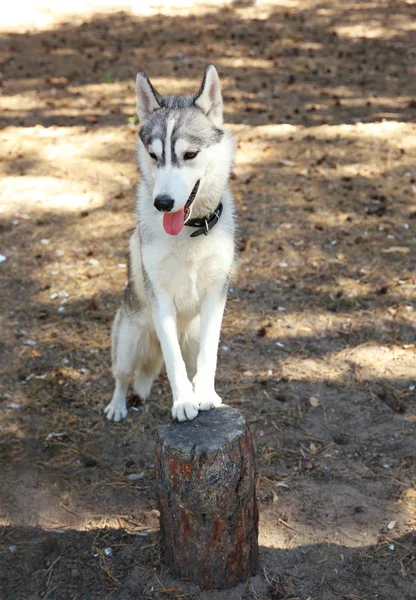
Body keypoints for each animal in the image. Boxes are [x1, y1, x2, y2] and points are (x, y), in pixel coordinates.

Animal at [104, 65, 236, 422]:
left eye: (189, 155)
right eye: (154, 156)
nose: (162, 203)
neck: (190, 232)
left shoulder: (215, 296)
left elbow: (208, 357)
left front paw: (205, 395)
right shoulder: (160, 298)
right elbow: (173, 362)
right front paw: (183, 402)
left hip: (189, 335)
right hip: (127, 342)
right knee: (122, 376)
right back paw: (117, 406)